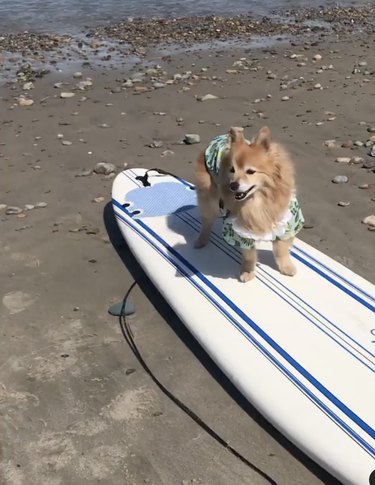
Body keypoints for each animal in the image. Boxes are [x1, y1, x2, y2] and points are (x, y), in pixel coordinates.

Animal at [194, 126, 306, 282]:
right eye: (232, 170)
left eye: (250, 171)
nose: (233, 185)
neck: (258, 201)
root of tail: (218, 138)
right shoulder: (242, 230)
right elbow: (249, 255)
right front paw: (248, 271)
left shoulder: (286, 222)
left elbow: (281, 248)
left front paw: (286, 266)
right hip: (208, 200)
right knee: (207, 221)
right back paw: (201, 240)